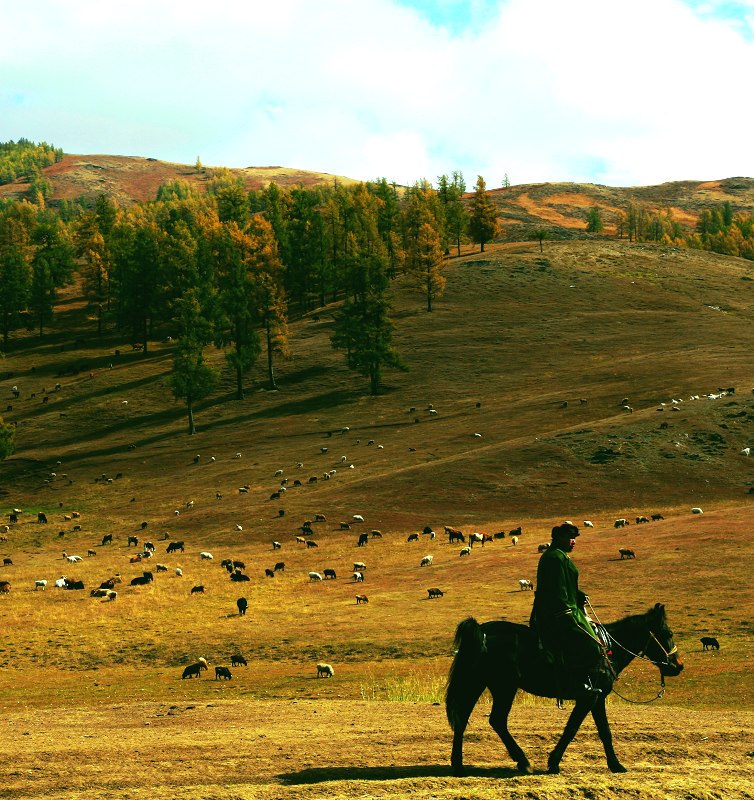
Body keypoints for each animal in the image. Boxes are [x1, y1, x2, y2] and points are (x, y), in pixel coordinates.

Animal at [446, 608, 680, 776]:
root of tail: (482, 630)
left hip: (480, 683)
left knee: (465, 719)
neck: (607, 649)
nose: (678, 666)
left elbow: (604, 731)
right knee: (495, 720)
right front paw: (554, 763)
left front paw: (615, 765)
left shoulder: (597, 699)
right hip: (503, 687)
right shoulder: (589, 697)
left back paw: (459, 766)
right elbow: (572, 729)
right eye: (668, 633)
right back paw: (522, 762)